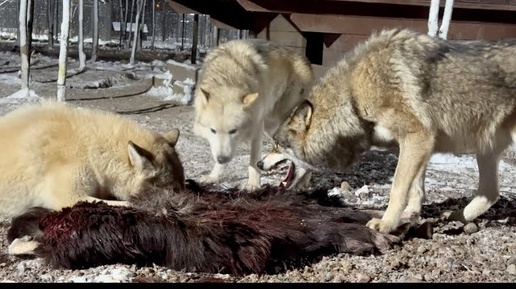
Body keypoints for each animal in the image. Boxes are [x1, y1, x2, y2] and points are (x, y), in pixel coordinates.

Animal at [0, 100, 185, 216]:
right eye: (173, 190)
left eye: (181, 186)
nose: (184, 204)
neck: (90, 149)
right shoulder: (69, 197)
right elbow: (127, 204)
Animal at [191, 38, 312, 191]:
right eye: (213, 130)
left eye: (233, 130)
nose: (222, 159)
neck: (228, 78)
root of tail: (306, 59)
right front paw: (213, 177)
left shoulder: (256, 128)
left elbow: (253, 160)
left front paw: (253, 185)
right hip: (271, 128)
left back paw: (303, 182)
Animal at [270, 28, 516, 233]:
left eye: (277, 145)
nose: (262, 163)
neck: (353, 96)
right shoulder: (418, 144)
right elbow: (415, 187)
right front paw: (411, 214)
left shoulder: (418, 137)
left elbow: (397, 187)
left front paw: (387, 224)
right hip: (485, 150)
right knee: (491, 193)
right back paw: (457, 216)